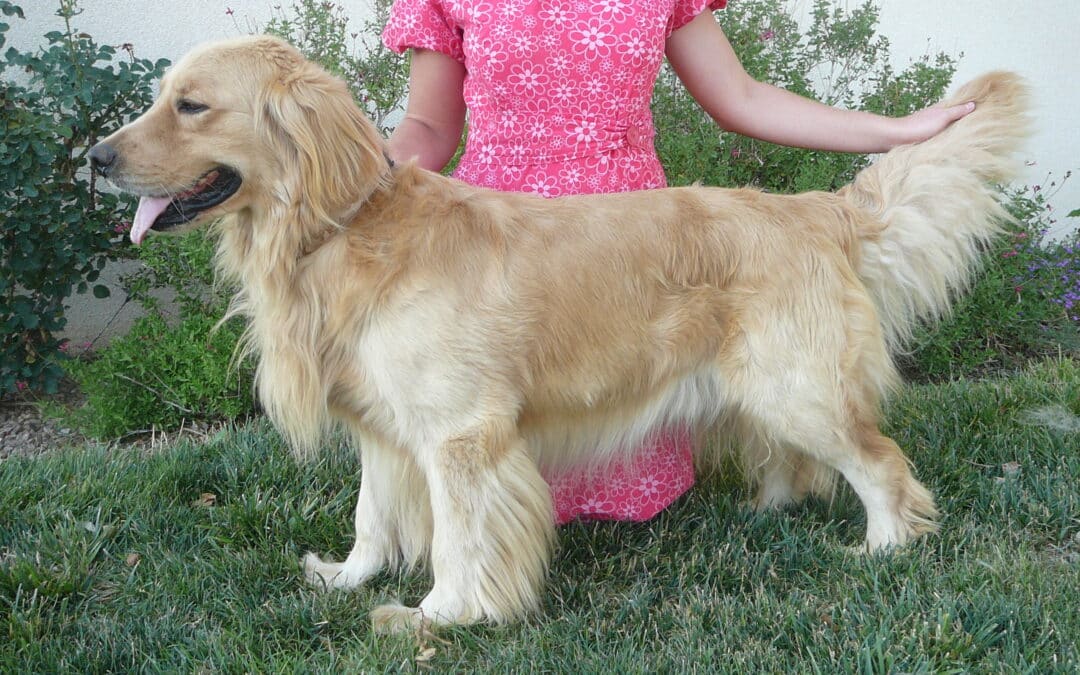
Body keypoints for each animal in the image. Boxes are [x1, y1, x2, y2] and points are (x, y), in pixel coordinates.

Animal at [90, 35, 1028, 626]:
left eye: (192, 105)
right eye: (162, 98)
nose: (94, 158)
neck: (339, 232)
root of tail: (816, 208)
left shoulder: (461, 436)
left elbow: (460, 540)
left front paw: (439, 615)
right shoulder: (386, 428)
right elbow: (371, 518)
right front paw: (347, 579)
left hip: (798, 388)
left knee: (882, 465)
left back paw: (884, 548)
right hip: (761, 389)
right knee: (799, 464)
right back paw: (767, 511)